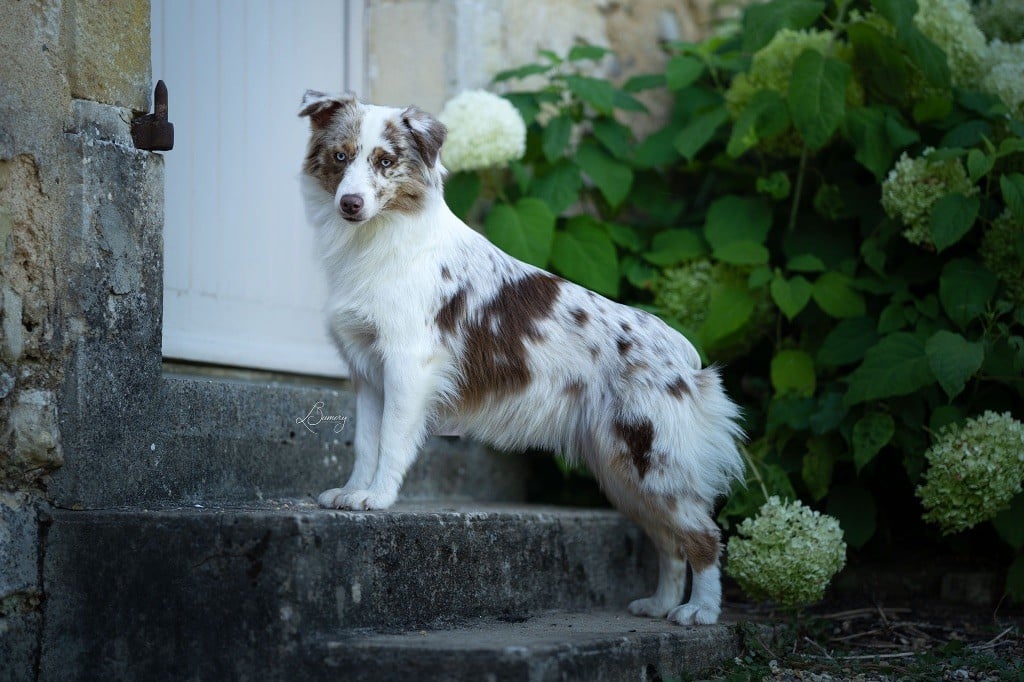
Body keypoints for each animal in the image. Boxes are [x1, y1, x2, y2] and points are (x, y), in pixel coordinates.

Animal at [299, 91, 745, 626]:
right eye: (340, 156)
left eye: (386, 161)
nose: (350, 203)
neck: (381, 238)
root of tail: (686, 357)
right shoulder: (368, 373)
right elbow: (365, 442)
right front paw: (351, 492)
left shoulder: (409, 366)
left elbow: (391, 440)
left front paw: (378, 497)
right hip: (620, 467)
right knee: (668, 542)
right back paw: (659, 605)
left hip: (653, 458)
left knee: (703, 536)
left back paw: (700, 612)